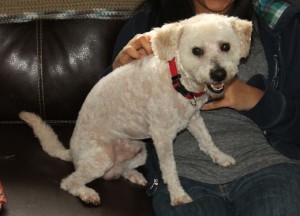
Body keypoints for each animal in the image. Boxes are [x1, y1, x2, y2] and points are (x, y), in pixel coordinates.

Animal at [19, 13, 252, 206]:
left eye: (225, 46)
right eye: (197, 51)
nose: (219, 74)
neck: (177, 81)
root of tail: (72, 151)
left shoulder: (193, 118)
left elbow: (207, 141)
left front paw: (221, 157)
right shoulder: (162, 137)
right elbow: (170, 169)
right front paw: (178, 196)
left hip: (140, 150)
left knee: (118, 170)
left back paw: (135, 176)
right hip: (102, 156)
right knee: (69, 182)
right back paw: (87, 193)